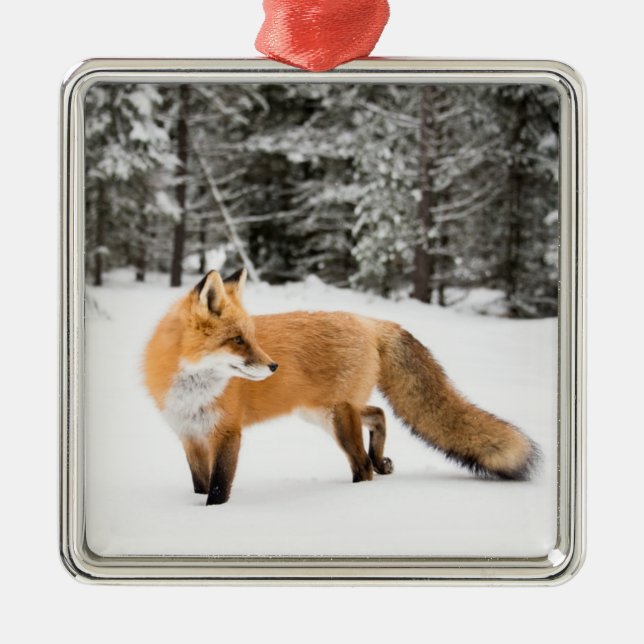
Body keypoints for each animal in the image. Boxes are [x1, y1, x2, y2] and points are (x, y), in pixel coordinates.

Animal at [143, 268, 539, 505]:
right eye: (238, 340)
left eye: (251, 338)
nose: (273, 366)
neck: (192, 390)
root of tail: (368, 321)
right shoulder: (190, 436)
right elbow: (200, 483)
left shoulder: (227, 433)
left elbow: (218, 487)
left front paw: (213, 516)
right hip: (322, 412)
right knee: (378, 414)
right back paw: (381, 461)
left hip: (336, 418)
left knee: (362, 465)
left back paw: (356, 491)